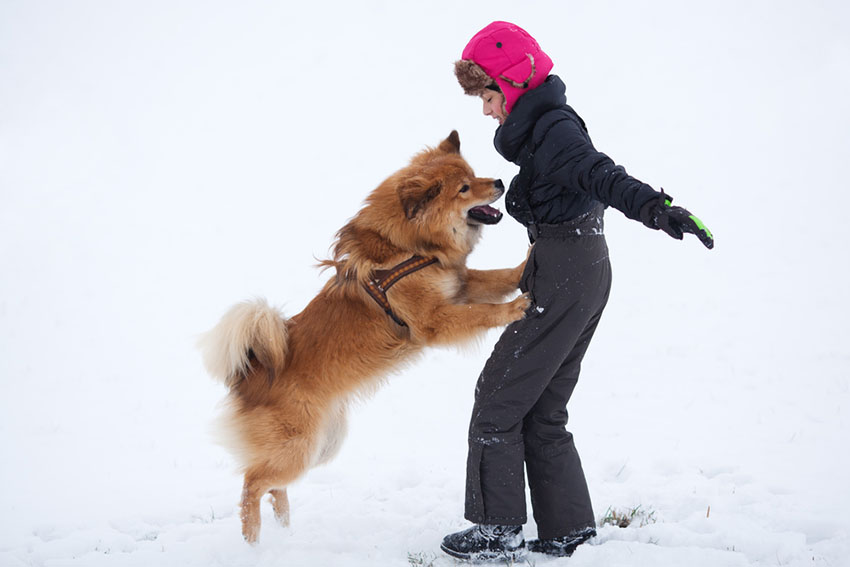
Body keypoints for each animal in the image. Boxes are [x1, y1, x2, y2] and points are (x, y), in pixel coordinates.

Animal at [201, 131, 528, 544]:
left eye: (473, 174)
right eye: (465, 188)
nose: (500, 182)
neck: (411, 246)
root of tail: (250, 375)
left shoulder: (461, 285)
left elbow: (497, 277)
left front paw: (526, 264)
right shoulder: (436, 320)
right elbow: (483, 312)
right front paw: (515, 307)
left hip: (323, 443)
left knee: (273, 486)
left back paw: (285, 528)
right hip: (299, 448)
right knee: (252, 484)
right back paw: (254, 542)